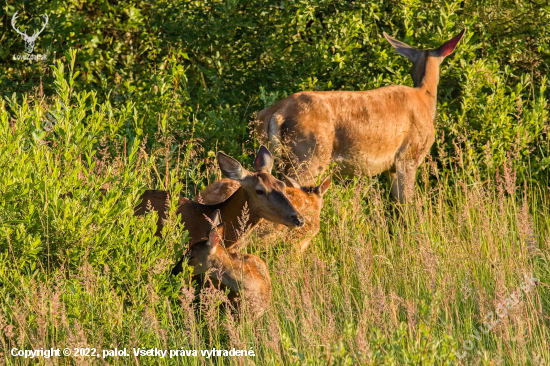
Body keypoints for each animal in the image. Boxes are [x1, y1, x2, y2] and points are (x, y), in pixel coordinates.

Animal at [254, 29, 466, 203]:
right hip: (309, 156)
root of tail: (275, 112)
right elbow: (407, 205)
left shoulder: (390, 167)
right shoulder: (408, 155)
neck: (424, 99)